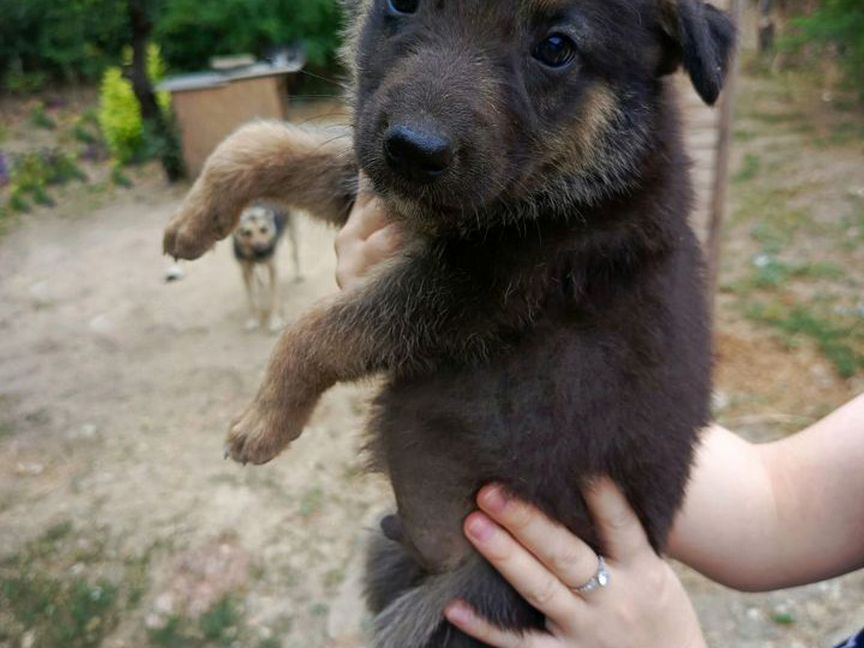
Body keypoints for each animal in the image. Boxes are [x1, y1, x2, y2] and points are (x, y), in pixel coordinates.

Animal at [231, 204, 302, 334]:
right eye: (247, 233)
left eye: (263, 229)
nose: (262, 251)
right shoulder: (245, 271)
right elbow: (252, 300)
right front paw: (253, 320)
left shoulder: (273, 269)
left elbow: (274, 299)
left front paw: (275, 322)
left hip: (293, 230)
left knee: (295, 252)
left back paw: (299, 275)